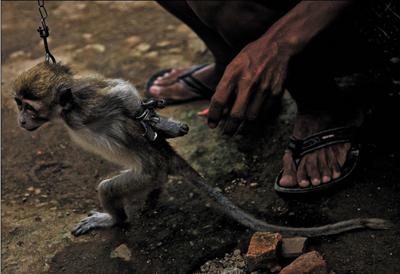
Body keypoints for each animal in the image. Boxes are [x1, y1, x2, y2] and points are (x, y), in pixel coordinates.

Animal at [12, 62, 390, 238]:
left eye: (28, 108)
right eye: (18, 104)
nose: (20, 120)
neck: (64, 113)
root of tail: (166, 158)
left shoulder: (85, 105)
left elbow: (120, 92)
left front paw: (153, 119)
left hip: (147, 170)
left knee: (112, 187)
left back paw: (115, 217)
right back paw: (153, 196)